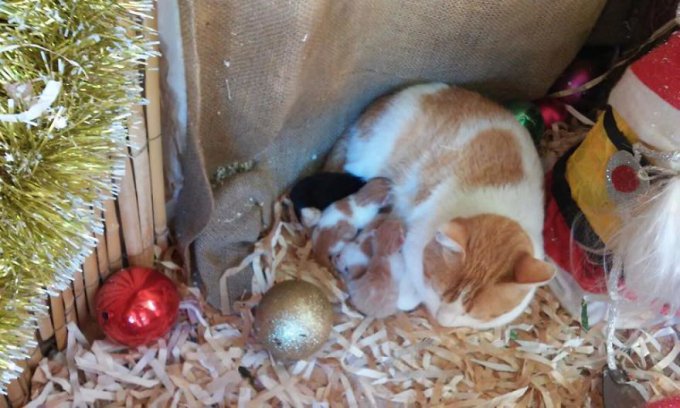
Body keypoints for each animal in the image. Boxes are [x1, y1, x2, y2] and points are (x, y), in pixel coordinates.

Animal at [326, 83, 556, 328]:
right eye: (442, 292)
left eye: (471, 313)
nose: (443, 321)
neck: (501, 207)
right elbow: (411, 283)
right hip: (368, 161)